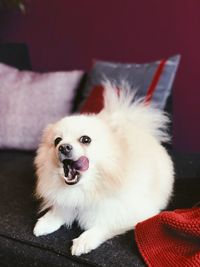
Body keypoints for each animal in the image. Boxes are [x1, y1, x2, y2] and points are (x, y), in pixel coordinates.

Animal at [33, 82, 173, 256]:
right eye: (57, 141)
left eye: (85, 139)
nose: (63, 147)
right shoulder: (68, 199)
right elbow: (60, 210)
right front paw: (46, 222)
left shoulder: (133, 213)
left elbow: (103, 226)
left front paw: (84, 241)